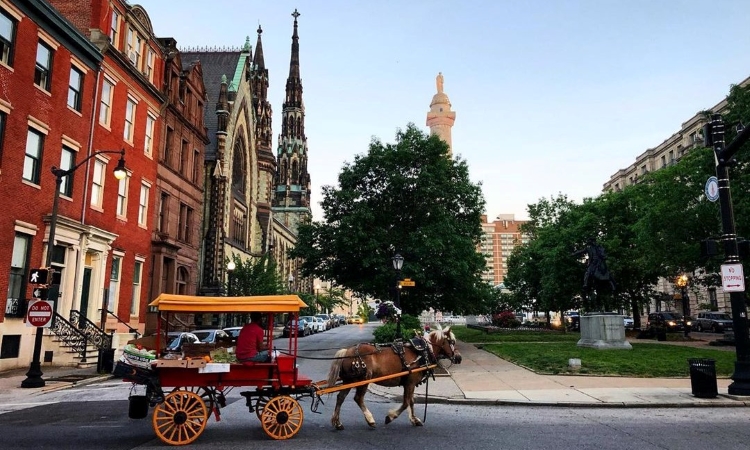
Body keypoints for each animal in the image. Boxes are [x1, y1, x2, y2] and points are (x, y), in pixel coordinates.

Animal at [326, 326, 462, 428]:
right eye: (452, 342)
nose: (459, 357)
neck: (422, 351)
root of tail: (347, 351)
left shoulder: (409, 383)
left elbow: (411, 401)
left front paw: (414, 419)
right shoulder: (410, 382)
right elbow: (406, 402)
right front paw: (390, 417)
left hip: (350, 380)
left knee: (340, 398)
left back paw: (337, 422)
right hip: (363, 380)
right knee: (358, 398)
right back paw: (370, 419)